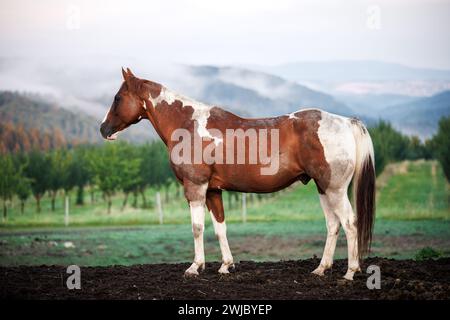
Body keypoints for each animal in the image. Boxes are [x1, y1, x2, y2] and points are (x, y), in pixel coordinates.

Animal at [99, 67, 376, 280]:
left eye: (117, 98)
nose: (103, 129)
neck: (188, 125)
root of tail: (346, 122)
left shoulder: (195, 187)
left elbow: (197, 227)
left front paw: (195, 267)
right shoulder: (213, 191)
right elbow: (220, 228)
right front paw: (225, 265)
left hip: (335, 189)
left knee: (349, 223)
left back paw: (350, 272)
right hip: (322, 187)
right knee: (333, 224)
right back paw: (321, 269)